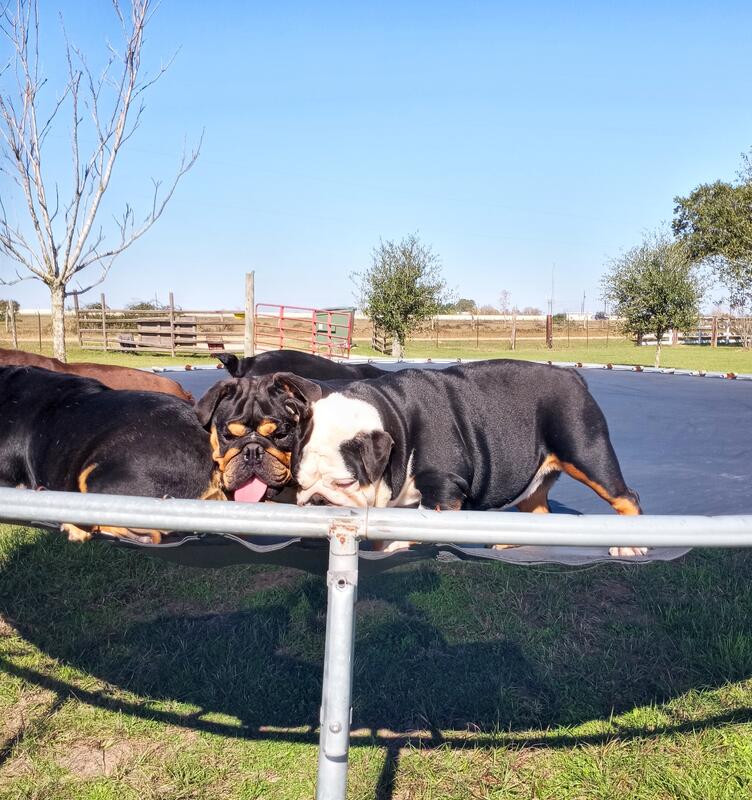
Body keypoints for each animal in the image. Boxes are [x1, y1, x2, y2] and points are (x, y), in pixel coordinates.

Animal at [195, 361, 644, 557]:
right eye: (303, 486)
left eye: (345, 482)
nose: (319, 502)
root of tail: (573, 374)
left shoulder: (444, 487)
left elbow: (421, 522)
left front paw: (398, 544)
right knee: (538, 508)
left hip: (585, 451)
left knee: (626, 496)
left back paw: (631, 545)